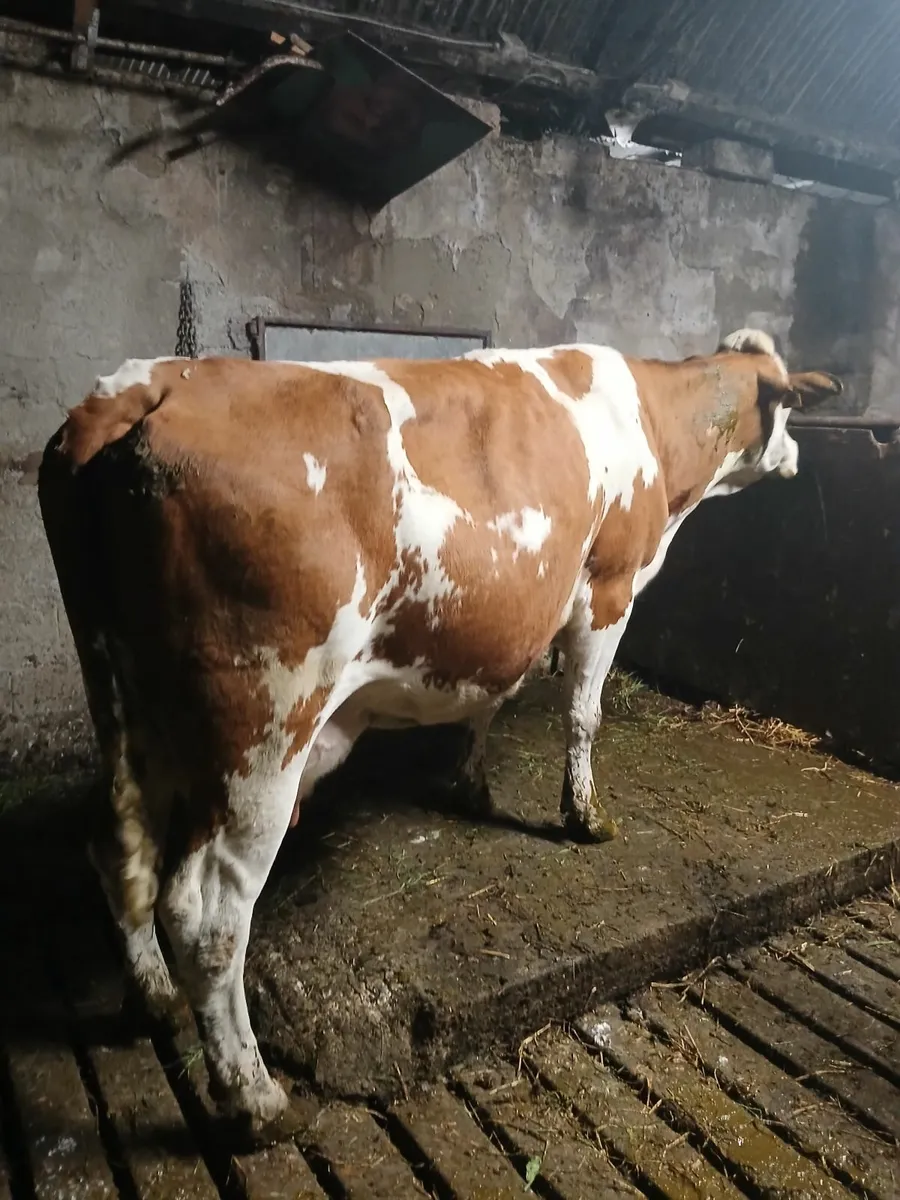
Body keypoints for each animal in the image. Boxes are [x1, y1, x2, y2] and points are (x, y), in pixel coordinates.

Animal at [38, 328, 840, 1141]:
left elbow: (486, 702)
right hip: (261, 732)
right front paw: (585, 816)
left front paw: (470, 782)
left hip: (128, 705)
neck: (654, 425)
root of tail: (145, 388)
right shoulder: (607, 590)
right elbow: (584, 714)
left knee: (116, 846)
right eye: (788, 403)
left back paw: (154, 994)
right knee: (208, 915)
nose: (800, 456)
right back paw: (253, 1096)